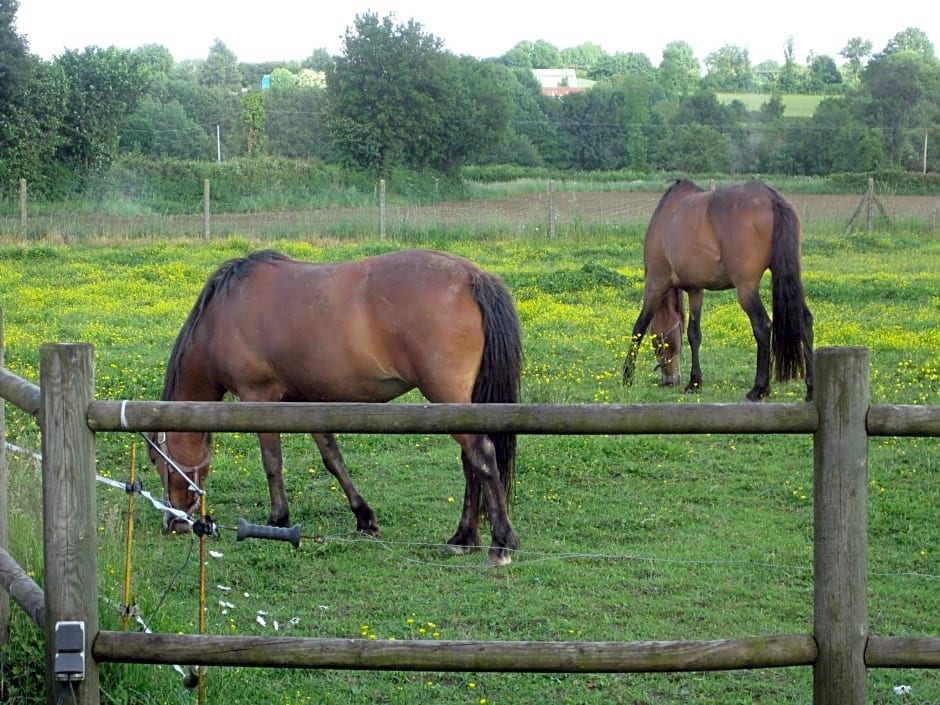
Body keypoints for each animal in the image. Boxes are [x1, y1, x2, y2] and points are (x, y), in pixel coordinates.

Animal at [151, 248, 524, 568]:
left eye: (158, 461)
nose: (173, 522)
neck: (223, 314)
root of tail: (473, 276)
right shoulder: (308, 402)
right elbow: (333, 459)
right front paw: (364, 518)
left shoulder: (257, 397)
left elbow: (272, 463)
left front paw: (278, 520)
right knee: (470, 462)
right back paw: (464, 537)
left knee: (481, 456)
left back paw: (500, 543)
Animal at [620, 180, 812, 402]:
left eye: (659, 344)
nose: (670, 380)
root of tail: (772, 198)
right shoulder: (695, 290)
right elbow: (694, 333)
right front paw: (694, 382)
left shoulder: (656, 284)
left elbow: (639, 327)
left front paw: (627, 377)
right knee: (805, 320)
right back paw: (810, 389)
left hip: (746, 288)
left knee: (762, 326)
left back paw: (759, 389)